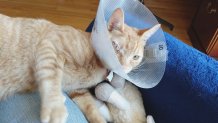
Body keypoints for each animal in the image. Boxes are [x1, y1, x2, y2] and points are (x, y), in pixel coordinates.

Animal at [0, 8, 158, 122]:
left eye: (135, 57)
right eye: (115, 46)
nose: (123, 68)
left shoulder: (78, 91)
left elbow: (92, 110)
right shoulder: (49, 44)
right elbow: (51, 76)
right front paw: (55, 108)